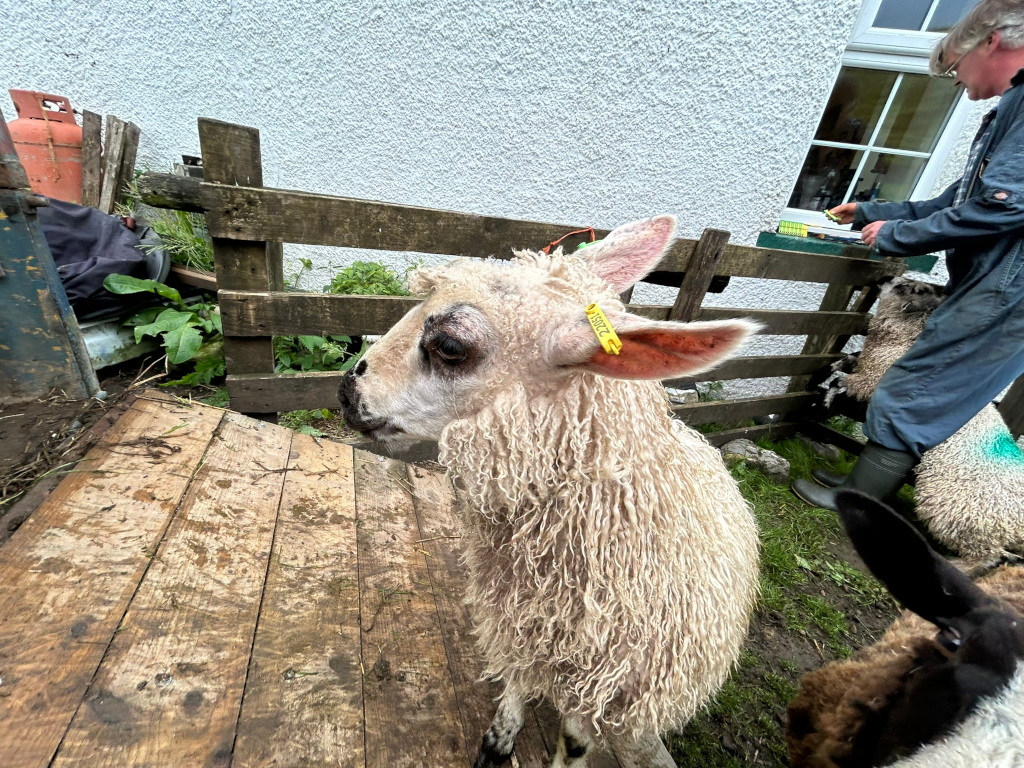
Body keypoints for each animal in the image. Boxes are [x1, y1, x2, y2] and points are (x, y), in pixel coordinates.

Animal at [338, 215, 761, 767]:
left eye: (450, 347)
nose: (346, 390)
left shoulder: (603, 689)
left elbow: (576, 741)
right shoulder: (519, 625)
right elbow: (516, 681)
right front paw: (498, 741)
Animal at [821, 276, 1024, 558]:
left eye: (904, 288)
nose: (882, 279)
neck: (900, 343)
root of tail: (1016, 527)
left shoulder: (870, 381)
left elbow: (841, 382)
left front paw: (827, 397)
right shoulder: (869, 365)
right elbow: (850, 360)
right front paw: (834, 365)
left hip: (961, 517)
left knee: (983, 552)